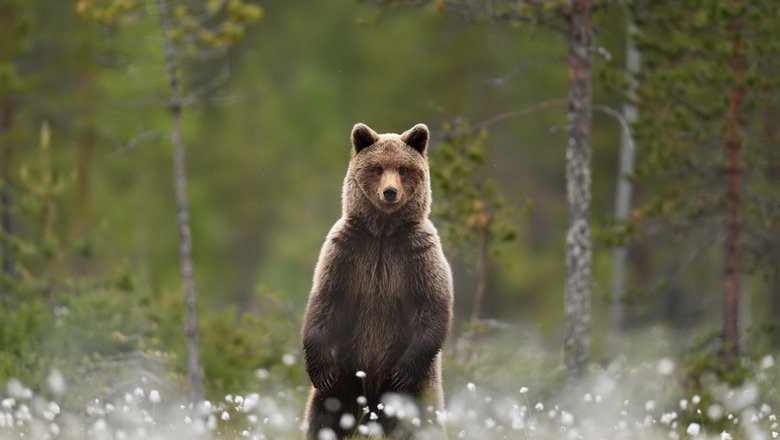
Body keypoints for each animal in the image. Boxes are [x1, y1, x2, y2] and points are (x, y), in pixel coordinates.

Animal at [302, 122, 454, 439]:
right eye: (378, 168)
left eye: (403, 169)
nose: (390, 191)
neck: (383, 233)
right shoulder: (347, 252)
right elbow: (325, 300)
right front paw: (319, 370)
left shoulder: (417, 255)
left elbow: (433, 305)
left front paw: (401, 373)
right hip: (346, 373)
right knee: (324, 413)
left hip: (421, 389)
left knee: (419, 419)